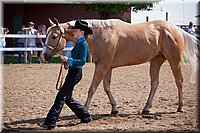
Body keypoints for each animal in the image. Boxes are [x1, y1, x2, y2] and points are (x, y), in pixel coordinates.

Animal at [42, 18, 198, 115]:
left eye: (54, 36)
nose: (44, 55)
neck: (99, 34)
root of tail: (176, 28)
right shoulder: (107, 67)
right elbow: (106, 88)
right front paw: (114, 109)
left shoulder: (102, 66)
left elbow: (92, 88)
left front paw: (85, 109)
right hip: (156, 61)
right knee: (154, 83)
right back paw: (146, 108)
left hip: (174, 61)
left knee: (179, 81)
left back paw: (180, 107)